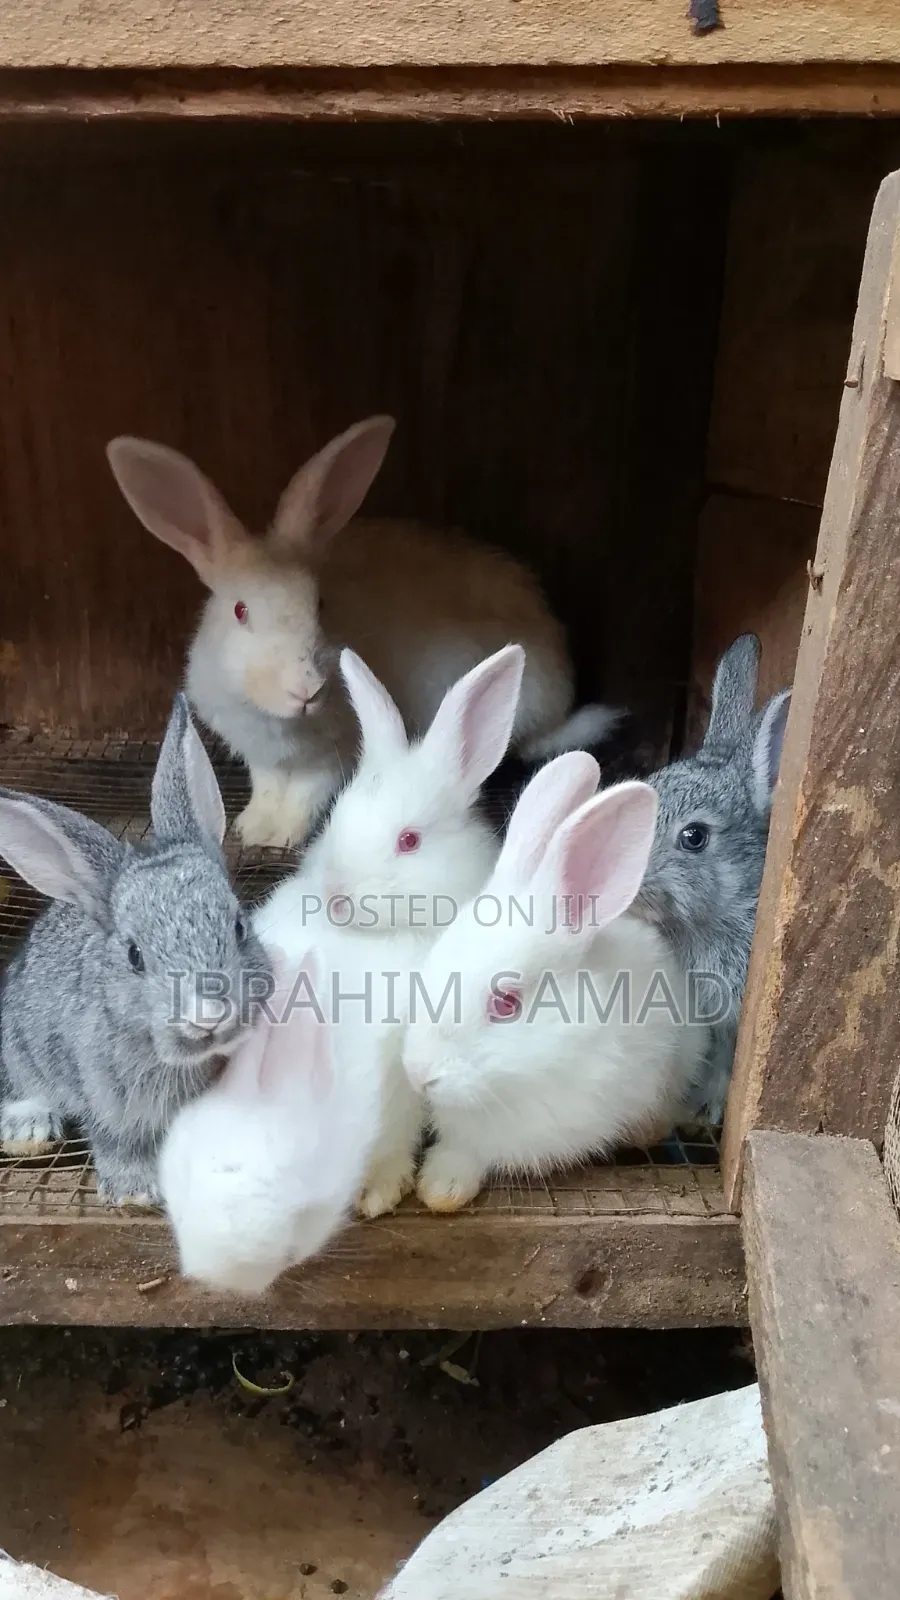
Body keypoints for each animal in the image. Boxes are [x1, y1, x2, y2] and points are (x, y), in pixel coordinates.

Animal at [0, 694, 272, 1204]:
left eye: (239, 927)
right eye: (134, 956)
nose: (208, 1015)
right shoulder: (110, 1104)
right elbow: (117, 1144)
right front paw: (136, 1193)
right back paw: (28, 1127)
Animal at [106, 416, 618, 849]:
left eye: (320, 603)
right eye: (239, 610)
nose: (307, 689)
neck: (283, 722)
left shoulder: (334, 756)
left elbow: (307, 793)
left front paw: (283, 835)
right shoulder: (262, 758)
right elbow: (267, 789)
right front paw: (253, 829)